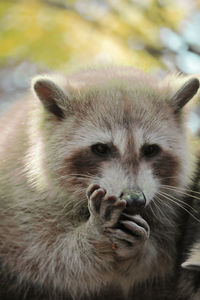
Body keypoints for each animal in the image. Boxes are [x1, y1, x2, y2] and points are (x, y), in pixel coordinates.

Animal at [0, 66, 199, 300]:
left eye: (150, 150)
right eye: (101, 149)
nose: (135, 200)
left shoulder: (170, 212)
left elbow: (155, 263)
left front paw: (140, 251)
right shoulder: (23, 202)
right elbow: (49, 257)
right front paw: (93, 235)